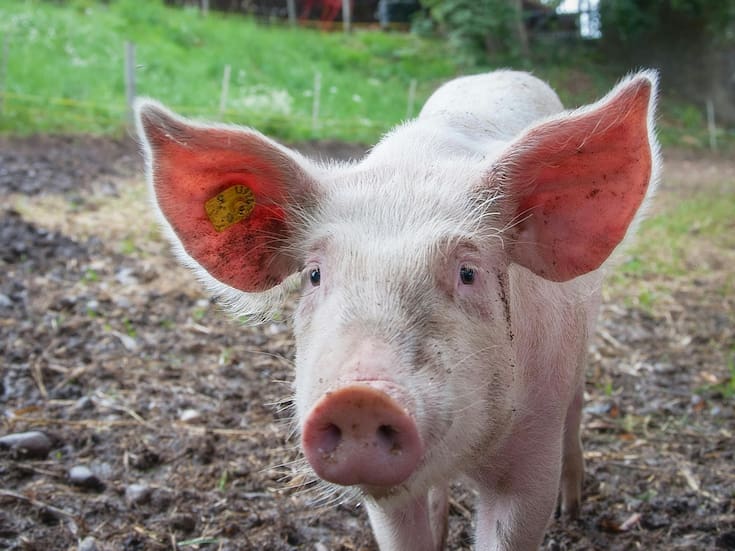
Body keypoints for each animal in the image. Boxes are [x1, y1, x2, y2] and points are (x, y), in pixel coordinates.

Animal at [135, 69, 660, 550]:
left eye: (468, 272)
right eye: (314, 275)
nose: (359, 398)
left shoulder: (532, 458)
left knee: (577, 409)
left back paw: (574, 509)